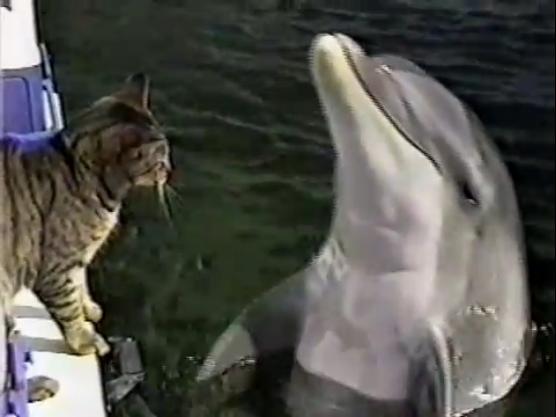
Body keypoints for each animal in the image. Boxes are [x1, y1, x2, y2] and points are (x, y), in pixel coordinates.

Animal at [0, 73, 171, 360]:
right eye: (161, 159)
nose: (169, 171)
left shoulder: (77, 258)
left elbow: (80, 286)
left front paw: (89, 308)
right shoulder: (55, 268)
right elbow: (69, 308)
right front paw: (84, 341)